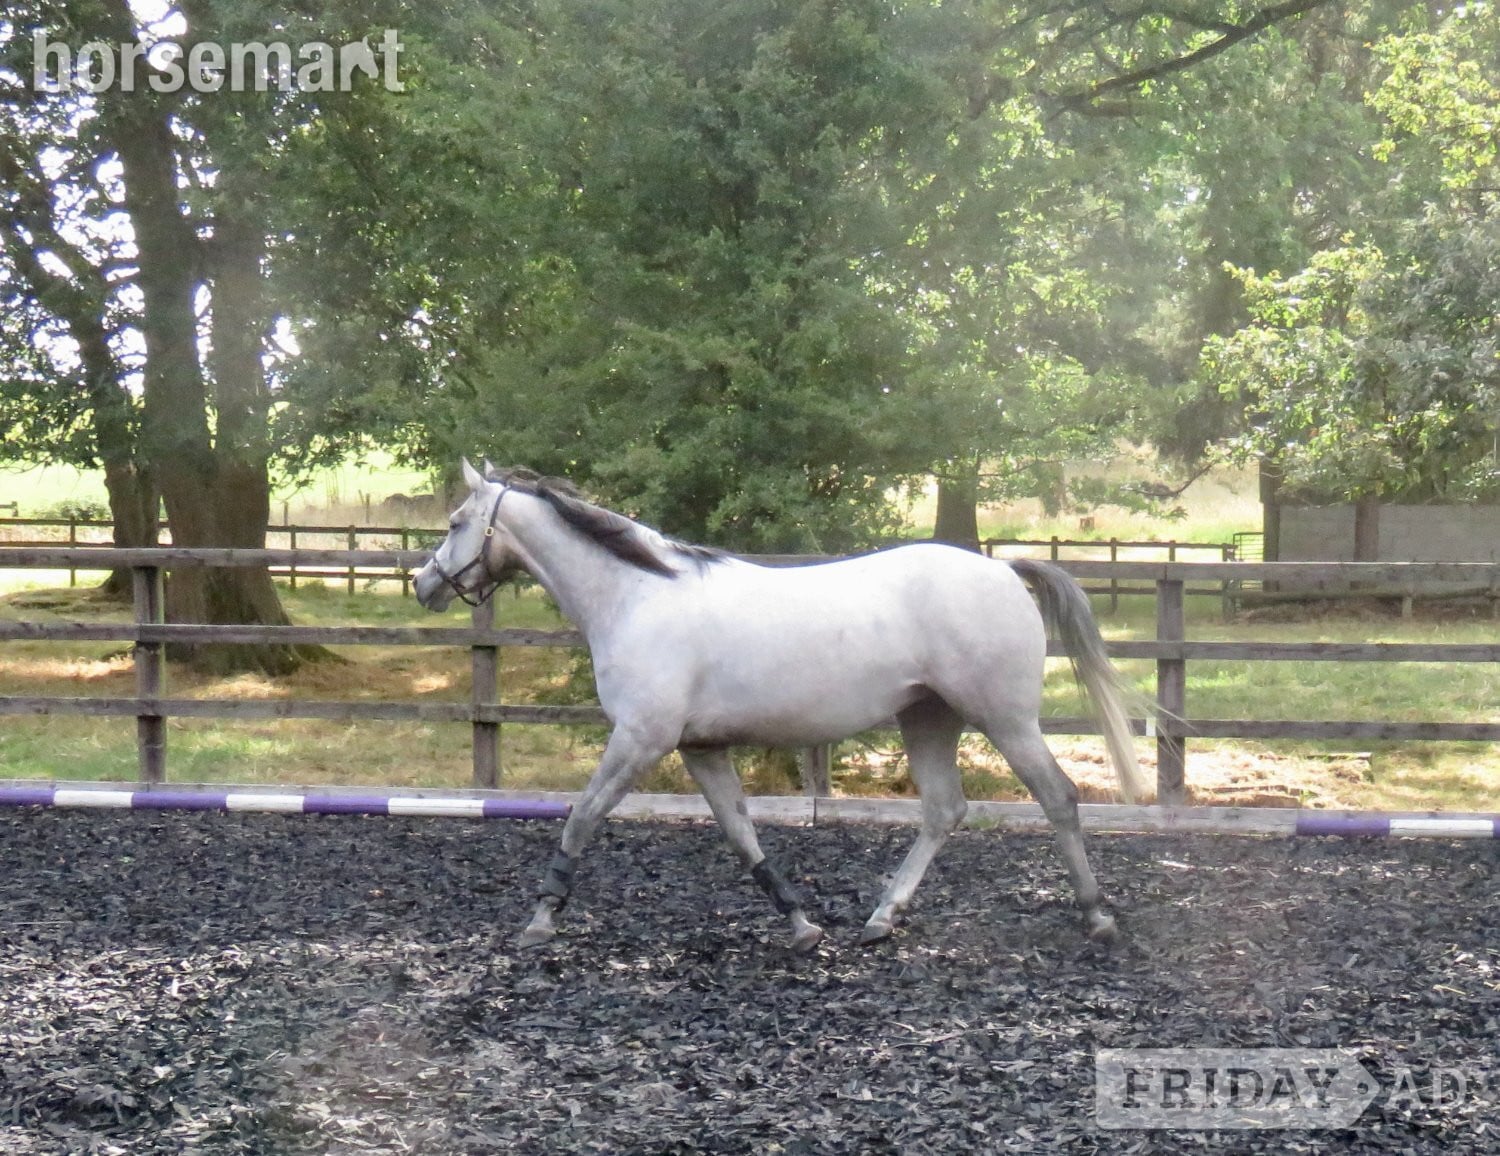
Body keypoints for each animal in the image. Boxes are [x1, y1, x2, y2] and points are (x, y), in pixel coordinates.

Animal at [412, 460, 1148, 951]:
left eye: (455, 522)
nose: (423, 583)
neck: (636, 597)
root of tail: (1003, 568)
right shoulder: (699, 748)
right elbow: (742, 835)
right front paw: (800, 923)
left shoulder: (641, 739)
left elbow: (582, 817)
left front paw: (541, 918)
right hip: (927, 718)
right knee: (945, 810)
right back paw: (881, 918)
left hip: (1005, 719)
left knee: (1058, 797)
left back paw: (1098, 916)